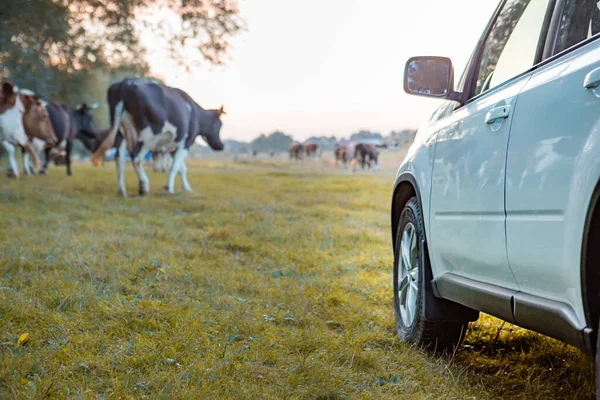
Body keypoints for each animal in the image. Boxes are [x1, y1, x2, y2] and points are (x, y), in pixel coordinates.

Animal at [91, 77, 225, 196]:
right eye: (220, 124)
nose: (221, 146)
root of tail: (127, 82)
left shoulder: (174, 146)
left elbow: (182, 168)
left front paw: (187, 188)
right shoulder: (185, 142)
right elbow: (176, 166)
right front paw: (169, 188)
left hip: (120, 131)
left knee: (120, 159)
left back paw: (121, 191)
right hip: (148, 135)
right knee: (136, 156)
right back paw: (144, 186)